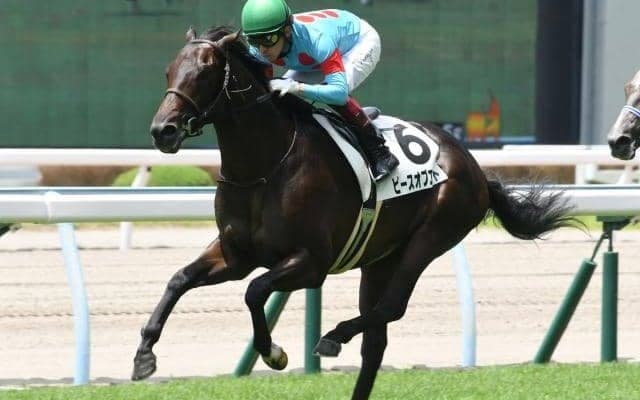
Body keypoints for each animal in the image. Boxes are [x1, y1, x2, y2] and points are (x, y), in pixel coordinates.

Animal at [133, 26, 577, 400]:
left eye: (206, 72)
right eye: (170, 70)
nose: (162, 131)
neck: (265, 167)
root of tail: (475, 167)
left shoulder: (311, 262)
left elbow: (255, 290)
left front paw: (274, 352)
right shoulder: (236, 255)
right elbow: (179, 280)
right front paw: (144, 356)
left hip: (431, 236)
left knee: (391, 308)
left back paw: (334, 335)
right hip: (379, 260)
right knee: (375, 343)